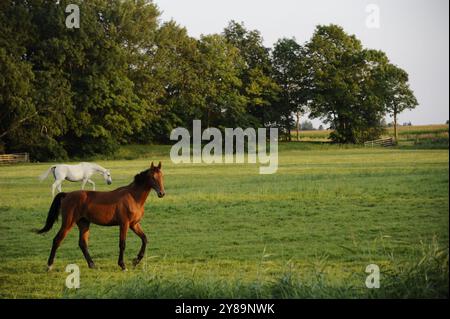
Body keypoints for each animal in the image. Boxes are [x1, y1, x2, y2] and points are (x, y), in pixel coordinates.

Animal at [36, 161, 164, 272]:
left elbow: (145, 239)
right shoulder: (124, 224)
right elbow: (122, 244)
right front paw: (123, 265)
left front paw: (135, 261)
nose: (161, 193)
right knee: (57, 240)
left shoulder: (134, 224)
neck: (133, 196)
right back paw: (49, 266)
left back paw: (92, 265)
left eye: (162, 176)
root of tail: (67, 195)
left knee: (82, 244)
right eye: (153, 177)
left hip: (84, 223)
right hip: (68, 223)